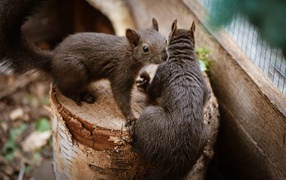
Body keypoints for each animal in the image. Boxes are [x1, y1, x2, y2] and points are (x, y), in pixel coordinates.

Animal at [0, 0, 166, 125]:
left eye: (164, 39)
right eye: (145, 49)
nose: (165, 56)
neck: (130, 54)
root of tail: (52, 59)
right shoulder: (121, 73)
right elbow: (121, 96)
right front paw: (130, 118)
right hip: (77, 70)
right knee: (62, 87)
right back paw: (81, 97)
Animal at [132, 20, 210, 179]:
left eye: (166, 40)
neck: (183, 55)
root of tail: (177, 159)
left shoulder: (162, 71)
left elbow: (152, 90)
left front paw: (145, 81)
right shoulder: (203, 82)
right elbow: (206, 96)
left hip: (150, 116)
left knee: (142, 150)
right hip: (205, 134)